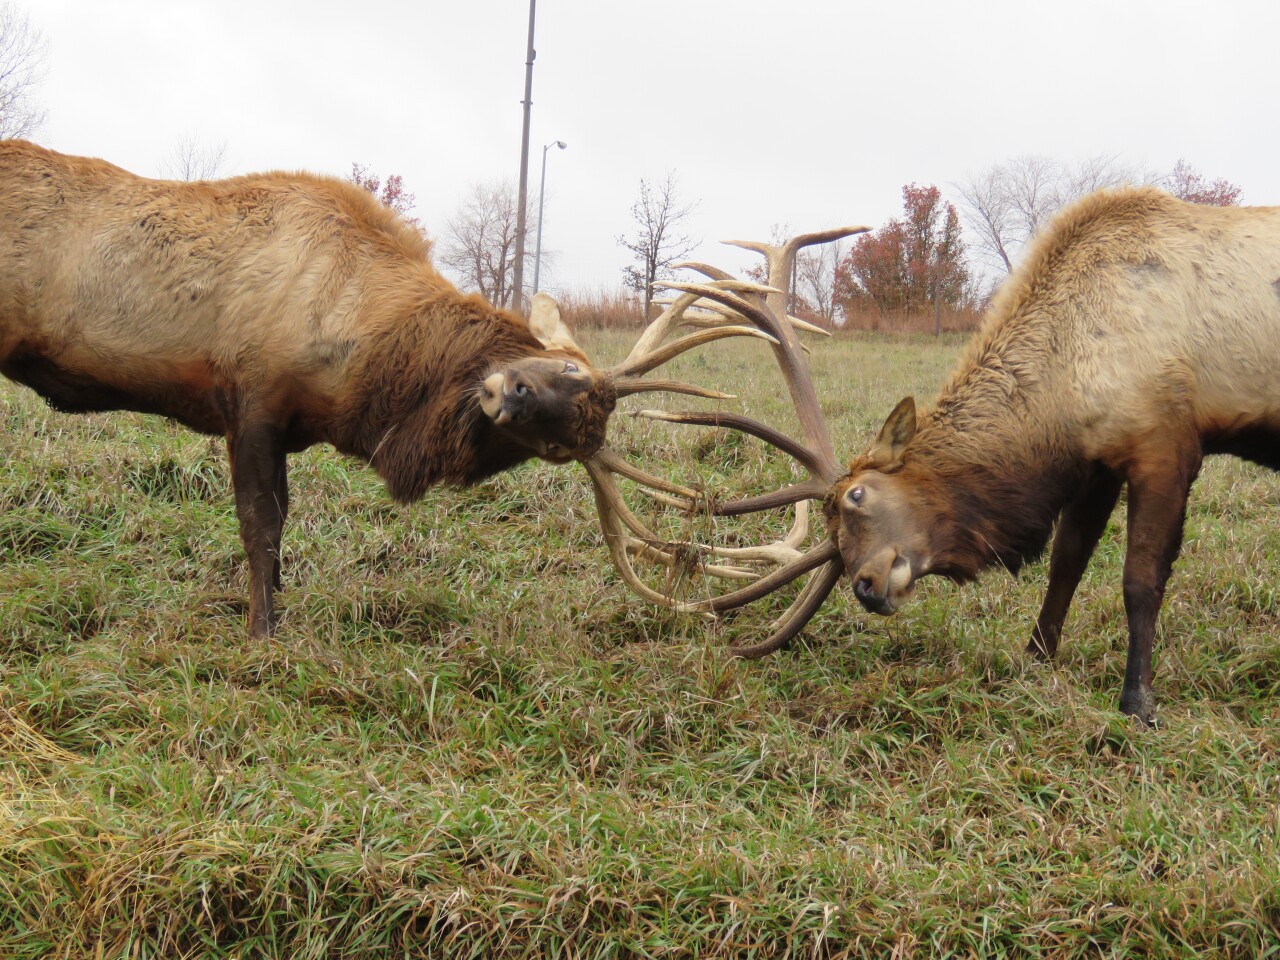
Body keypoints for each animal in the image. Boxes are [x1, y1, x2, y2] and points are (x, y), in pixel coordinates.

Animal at [0, 140, 770, 636]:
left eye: (560, 447)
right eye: (569, 369)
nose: (513, 391)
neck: (358, 361)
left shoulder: (283, 421)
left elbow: (280, 525)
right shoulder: (249, 396)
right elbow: (259, 525)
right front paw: (260, 633)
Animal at [592, 188, 1280, 724]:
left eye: (858, 495)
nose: (866, 586)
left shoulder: (1165, 440)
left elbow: (1140, 579)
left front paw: (1138, 703)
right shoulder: (1097, 462)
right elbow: (1066, 563)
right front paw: (1035, 657)